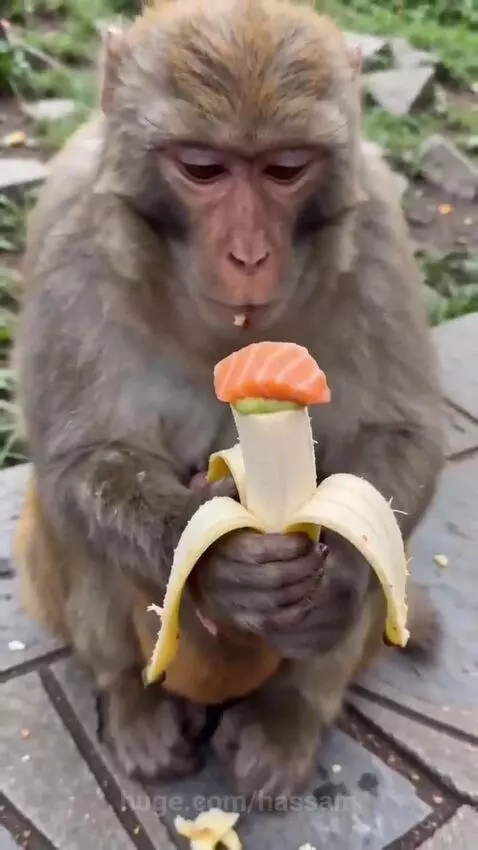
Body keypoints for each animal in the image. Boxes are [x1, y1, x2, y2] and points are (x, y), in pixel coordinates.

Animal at [12, 0, 444, 803]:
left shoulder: (375, 225)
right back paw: (135, 702)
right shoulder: (68, 227)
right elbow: (78, 459)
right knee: (70, 519)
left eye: (285, 169)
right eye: (203, 169)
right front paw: (220, 569)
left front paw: (343, 574)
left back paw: (289, 717)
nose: (248, 255)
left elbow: (402, 434)